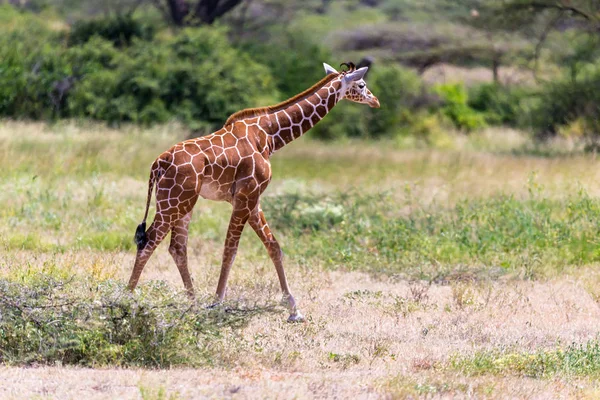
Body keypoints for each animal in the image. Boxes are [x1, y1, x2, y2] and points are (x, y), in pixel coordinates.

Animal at [127, 61, 380, 322]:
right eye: (362, 84)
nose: (375, 101)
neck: (270, 135)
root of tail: (159, 163)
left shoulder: (253, 198)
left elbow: (273, 246)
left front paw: (294, 310)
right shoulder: (246, 195)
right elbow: (230, 249)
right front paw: (217, 304)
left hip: (184, 202)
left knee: (176, 248)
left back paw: (192, 306)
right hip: (174, 201)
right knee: (148, 243)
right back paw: (126, 301)